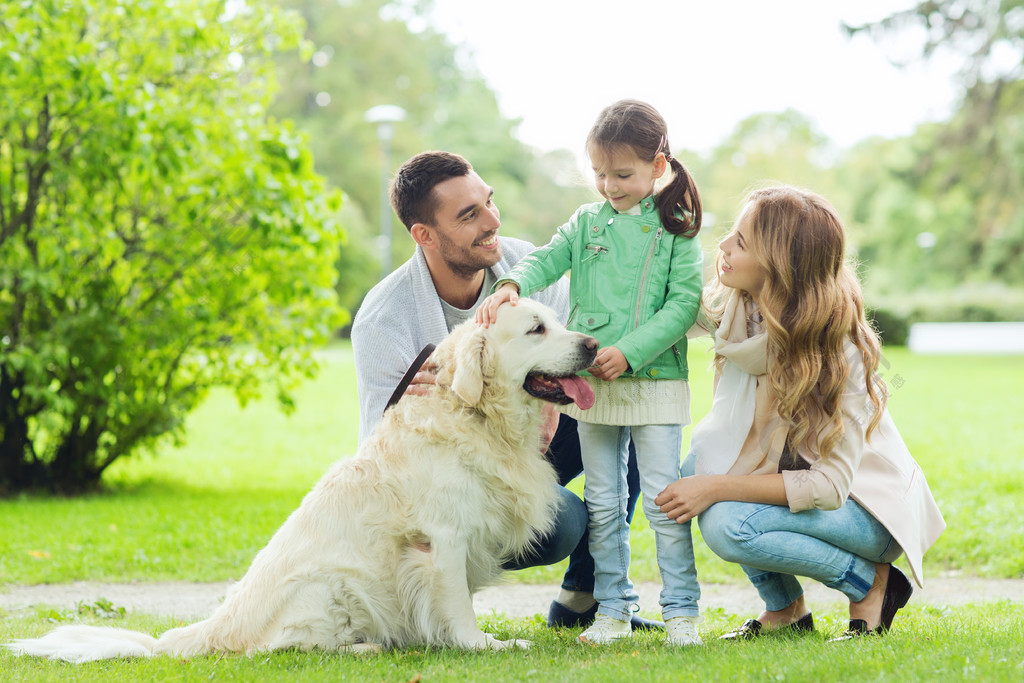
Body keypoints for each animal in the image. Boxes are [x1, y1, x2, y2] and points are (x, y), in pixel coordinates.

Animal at [6, 301, 598, 663]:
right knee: (277, 648)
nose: (592, 345)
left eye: (558, 320)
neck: (476, 416)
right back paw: (365, 646)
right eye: (536, 329)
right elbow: (456, 604)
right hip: (328, 584)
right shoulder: (443, 540)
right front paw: (483, 644)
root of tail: (212, 628)